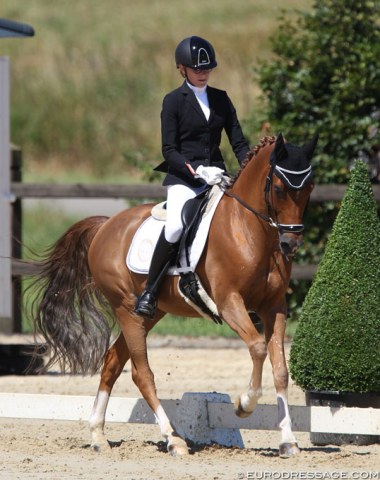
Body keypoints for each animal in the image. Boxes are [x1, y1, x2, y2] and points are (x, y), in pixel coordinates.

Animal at [31, 131, 318, 458]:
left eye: (310, 187)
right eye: (280, 189)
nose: (290, 244)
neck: (249, 230)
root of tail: (106, 225)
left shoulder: (274, 307)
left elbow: (280, 370)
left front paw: (288, 440)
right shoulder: (229, 302)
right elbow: (257, 348)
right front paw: (244, 404)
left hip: (151, 312)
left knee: (113, 361)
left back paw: (98, 435)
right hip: (127, 309)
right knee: (142, 374)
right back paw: (173, 439)